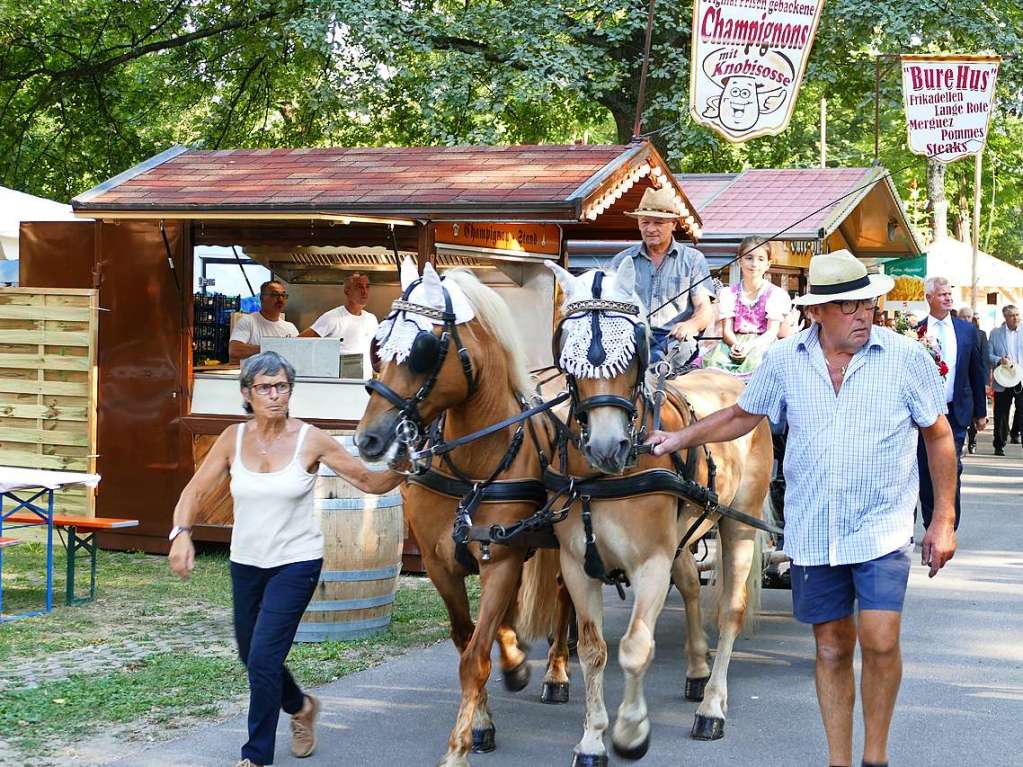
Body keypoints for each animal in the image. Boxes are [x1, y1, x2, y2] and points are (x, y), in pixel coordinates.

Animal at [356, 261, 568, 764]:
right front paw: (491, 706)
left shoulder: (500, 559)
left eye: (423, 350)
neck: (472, 465)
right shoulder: (441, 564)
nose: (368, 439)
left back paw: (556, 673)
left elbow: (476, 656)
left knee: (566, 605)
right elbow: (465, 637)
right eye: (378, 342)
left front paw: (459, 745)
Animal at [548, 261, 769, 764]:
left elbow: (635, 647)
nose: (607, 447)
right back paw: (696, 670)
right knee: (689, 585)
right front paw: (592, 738)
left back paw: (712, 706)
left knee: (730, 611)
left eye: (633, 350)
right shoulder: (575, 564)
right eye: (567, 353)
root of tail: (735, 384)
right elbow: (592, 649)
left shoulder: (650, 562)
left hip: (738, 524)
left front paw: (631, 731)